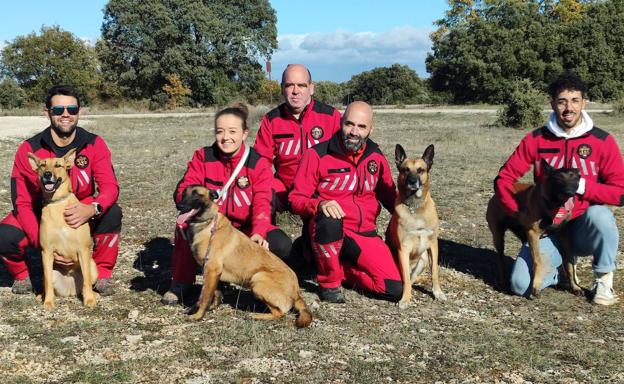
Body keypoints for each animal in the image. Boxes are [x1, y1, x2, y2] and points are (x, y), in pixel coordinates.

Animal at [28, 148, 97, 310]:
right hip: (50, 272)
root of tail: (70, 290)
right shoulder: (46, 252)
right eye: (42, 165)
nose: (47, 174)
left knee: (87, 283)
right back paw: (41, 296)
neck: (57, 203)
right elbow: (47, 284)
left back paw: (93, 295)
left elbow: (86, 281)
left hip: (92, 265)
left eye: (58, 165)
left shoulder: (83, 250)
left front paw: (89, 300)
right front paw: (48, 302)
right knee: (48, 284)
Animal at [174, 185, 312, 328]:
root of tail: (297, 292)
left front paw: (198, 315)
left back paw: (257, 315)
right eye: (183, 194)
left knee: (280, 313)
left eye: (196, 195)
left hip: (257, 279)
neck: (207, 224)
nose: (179, 205)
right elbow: (215, 293)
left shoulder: (211, 270)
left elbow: (204, 296)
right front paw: (212, 307)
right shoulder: (213, 273)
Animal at [386, 144, 444, 308]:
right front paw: (405, 299)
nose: (412, 181)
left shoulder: (433, 244)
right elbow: (405, 278)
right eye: (405, 170)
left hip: (422, 261)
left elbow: (434, 272)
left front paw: (437, 292)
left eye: (420, 170)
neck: (415, 206)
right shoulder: (403, 249)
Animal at [488, 159, 580, 296]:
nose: (569, 193)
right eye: (559, 178)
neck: (554, 206)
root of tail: (496, 194)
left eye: (576, 178)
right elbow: (538, 261)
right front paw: (536, 285)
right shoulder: (534, 234)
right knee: (499, 258)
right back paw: (503, 280)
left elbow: (569, 264)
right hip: (499, 237)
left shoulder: (564, 237)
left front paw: (574, 286)